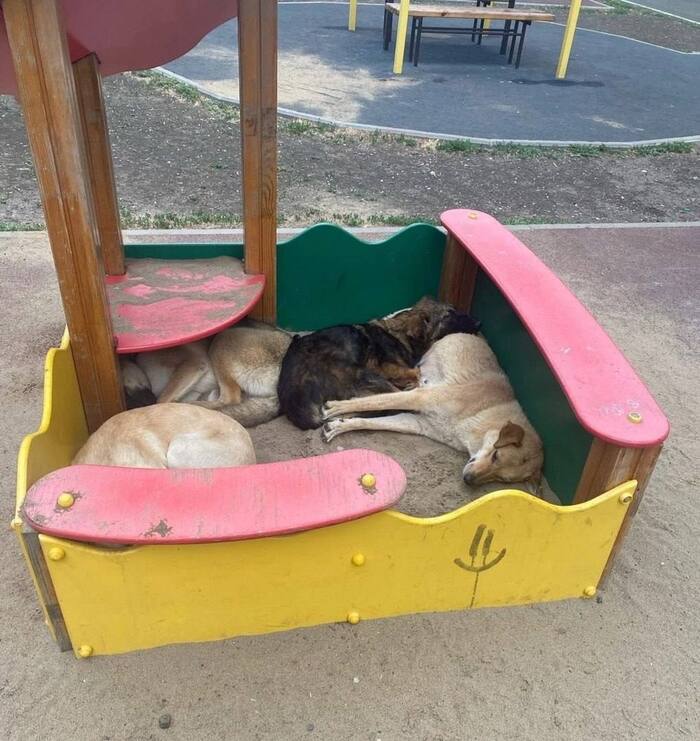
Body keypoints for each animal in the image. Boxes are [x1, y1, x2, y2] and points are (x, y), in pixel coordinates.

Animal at [121, 320, 292, 424]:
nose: (144, 401)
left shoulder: (194, 364)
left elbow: (161, 400)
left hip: (222, 339)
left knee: (230, 398)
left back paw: (195, 406)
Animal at [276, 298, 484, 430]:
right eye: (448, 314)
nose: (479, 323)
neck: (400, 334)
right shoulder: (385, 368)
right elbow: (414, 372)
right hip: (364, 373)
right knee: (391, 402)